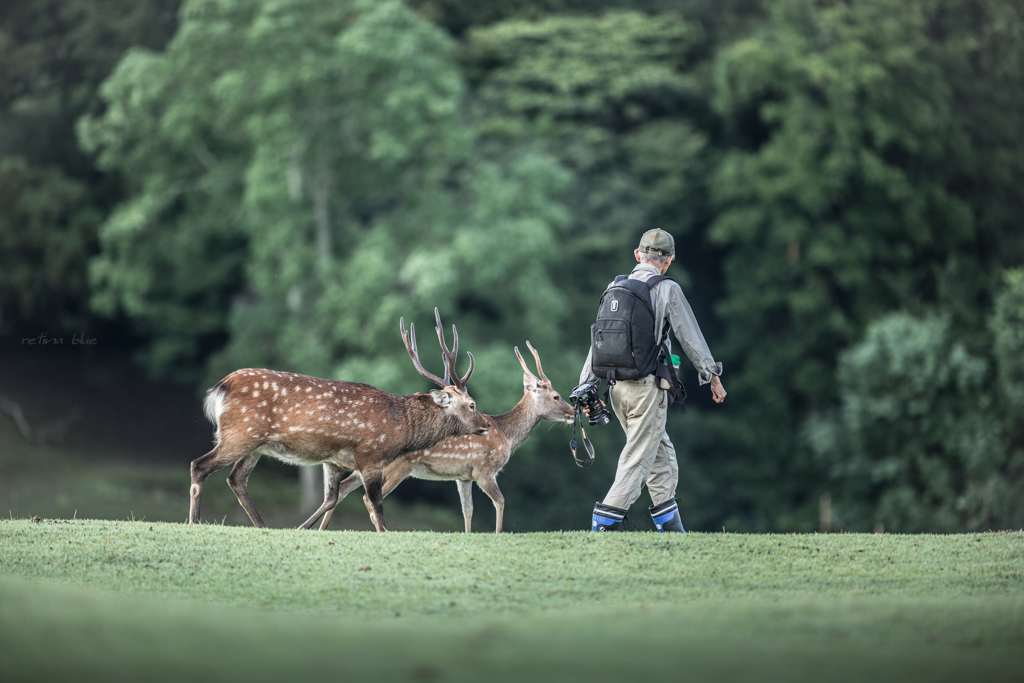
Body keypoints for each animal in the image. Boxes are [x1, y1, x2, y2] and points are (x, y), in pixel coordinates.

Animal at [303, 342, 577, 532]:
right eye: (556, 396)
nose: (573, 412)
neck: (507, 436)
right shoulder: (484, 469)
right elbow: (500, 502)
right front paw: (499, 534)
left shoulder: (463, 476)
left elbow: (468, 510)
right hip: (399, 466)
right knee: (364, 496)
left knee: (344, 488)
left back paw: (320, 529)